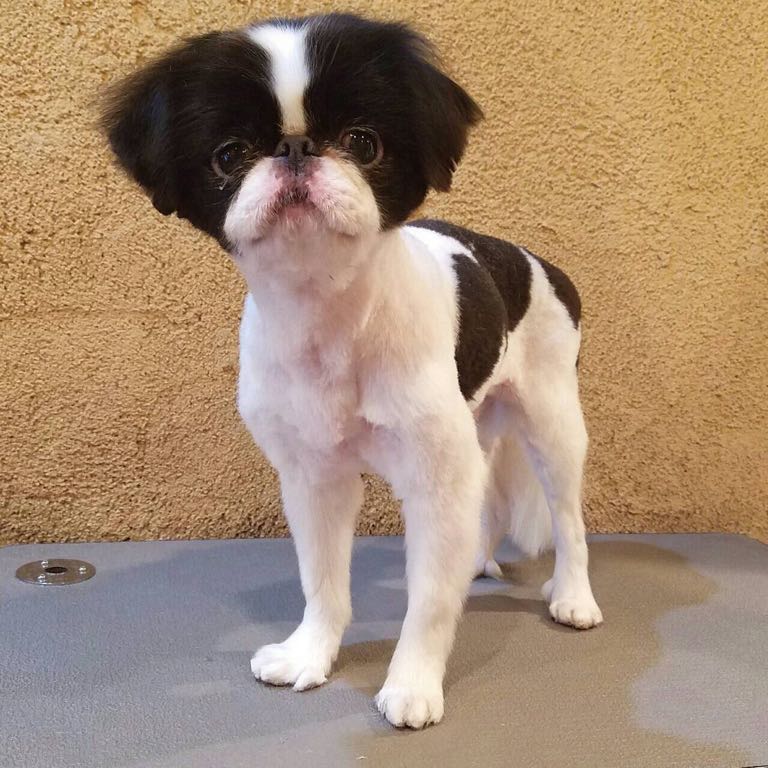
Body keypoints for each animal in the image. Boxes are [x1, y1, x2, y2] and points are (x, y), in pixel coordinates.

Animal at [101, 12, 603, 729]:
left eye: (363, 142)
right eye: (229, 153)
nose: (296, 147)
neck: (330, 322)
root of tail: (536, 262)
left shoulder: (432, 479)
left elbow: (428, 602)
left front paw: (414, 683)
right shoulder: (314, 478)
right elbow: (323, 582)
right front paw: (309, 654)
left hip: (553, 423)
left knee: (567, 518)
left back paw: (574, 596)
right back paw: (477, 563)